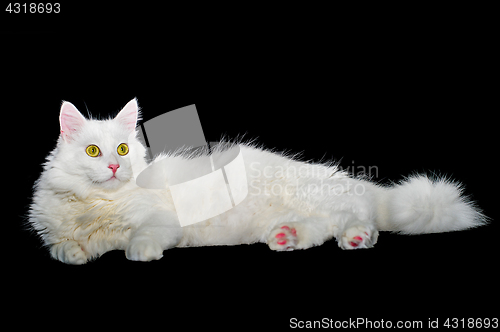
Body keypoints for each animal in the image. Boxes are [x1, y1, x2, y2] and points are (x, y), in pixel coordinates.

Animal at [27, 98, 484, 264]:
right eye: (93, 152)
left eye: (123, 150)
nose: (114, 168)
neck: (98, 204)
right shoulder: (59, 231)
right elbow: (65, 246)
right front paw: (75, 253)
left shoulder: (160, 220)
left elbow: (141, 236)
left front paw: (139, 253)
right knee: (320, 230)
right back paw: (287, 237)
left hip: (327, 198)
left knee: (358, 218)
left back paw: (356, 238)